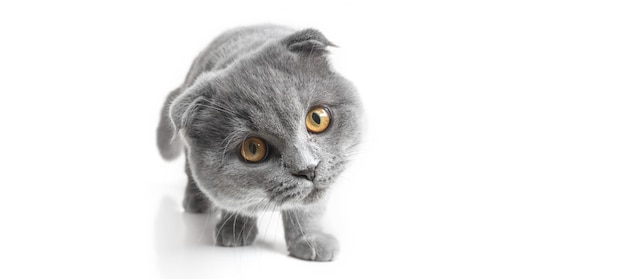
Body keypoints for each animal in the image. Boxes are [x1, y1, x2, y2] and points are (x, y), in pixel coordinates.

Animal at [155, 24, 360, 262]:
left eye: (317, 118)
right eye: (253, 149)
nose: (308, 169)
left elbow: (308, 210)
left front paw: (310, 239)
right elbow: (235, 202)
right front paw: (235, 230)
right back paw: (196, 203)